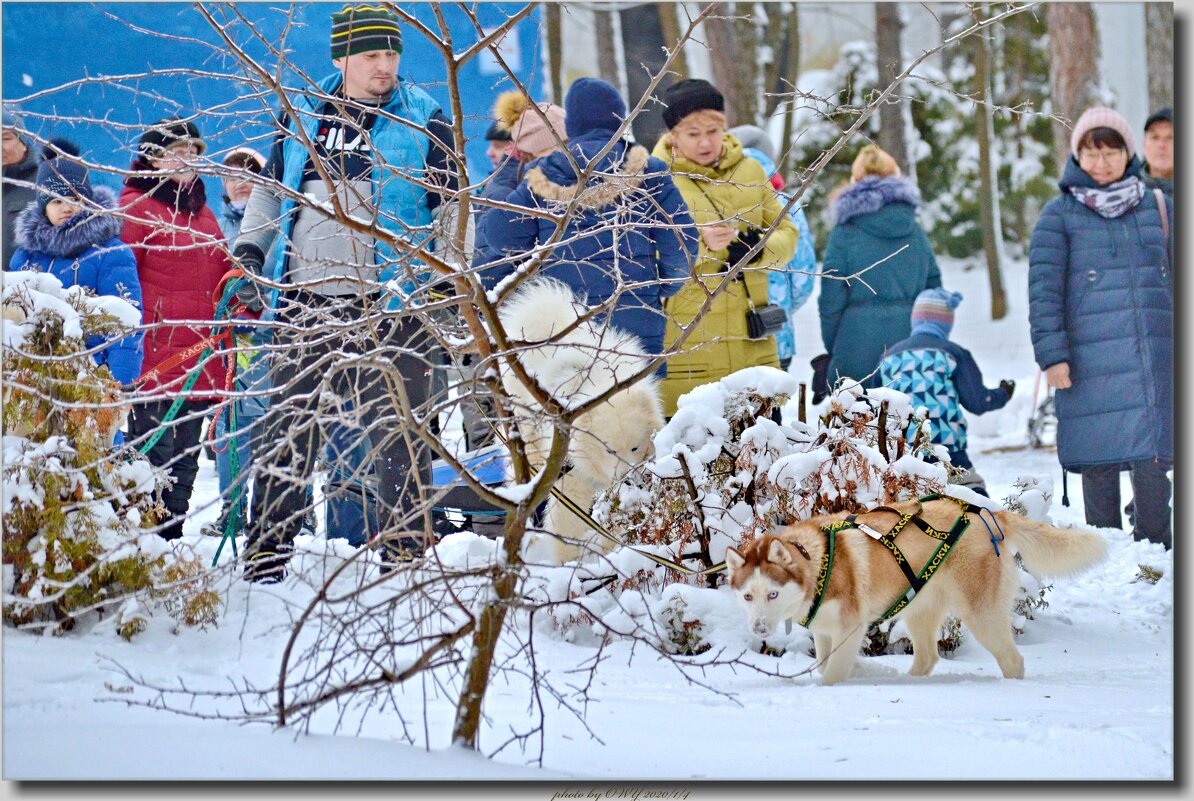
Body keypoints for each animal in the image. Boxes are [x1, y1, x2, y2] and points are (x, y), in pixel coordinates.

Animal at [494, 280, 663, 563]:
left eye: (635, 447)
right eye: (609, 450)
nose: (627, 480)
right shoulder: (571, 475)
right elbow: (568, 523)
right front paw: (569, 562)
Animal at [725, 498, 1108, 687]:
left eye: (772, 594)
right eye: (748, 596)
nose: (759, 628)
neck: (815, 563)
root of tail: (987, 515)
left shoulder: (850, 627)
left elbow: (830, 674)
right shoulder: (824, 630)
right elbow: (823, 664)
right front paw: (858, 671)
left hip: (980, 614)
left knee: (1012, 659)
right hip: (918, 609)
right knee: (927, 657)